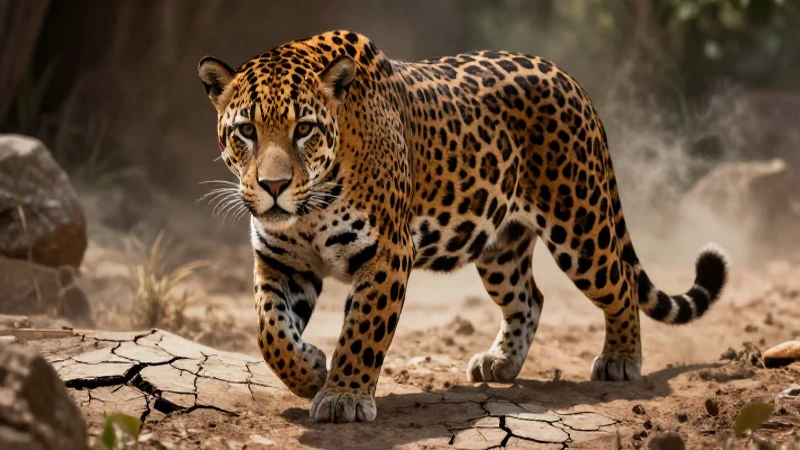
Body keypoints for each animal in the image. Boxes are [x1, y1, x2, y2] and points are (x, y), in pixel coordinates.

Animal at [197, 30, 728, 424]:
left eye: (304, 129)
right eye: (246, 131)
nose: (273, 186)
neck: (309, 207)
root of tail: (568, 77)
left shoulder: (387, 253)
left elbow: (363, 330)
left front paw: (343, 396)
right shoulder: (281, 260)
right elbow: (269, 332)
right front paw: (309, 371)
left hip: (580, 226)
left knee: (619, 284)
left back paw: (621, 359)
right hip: (499, 247)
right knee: (529, 297)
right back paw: (501, 362)